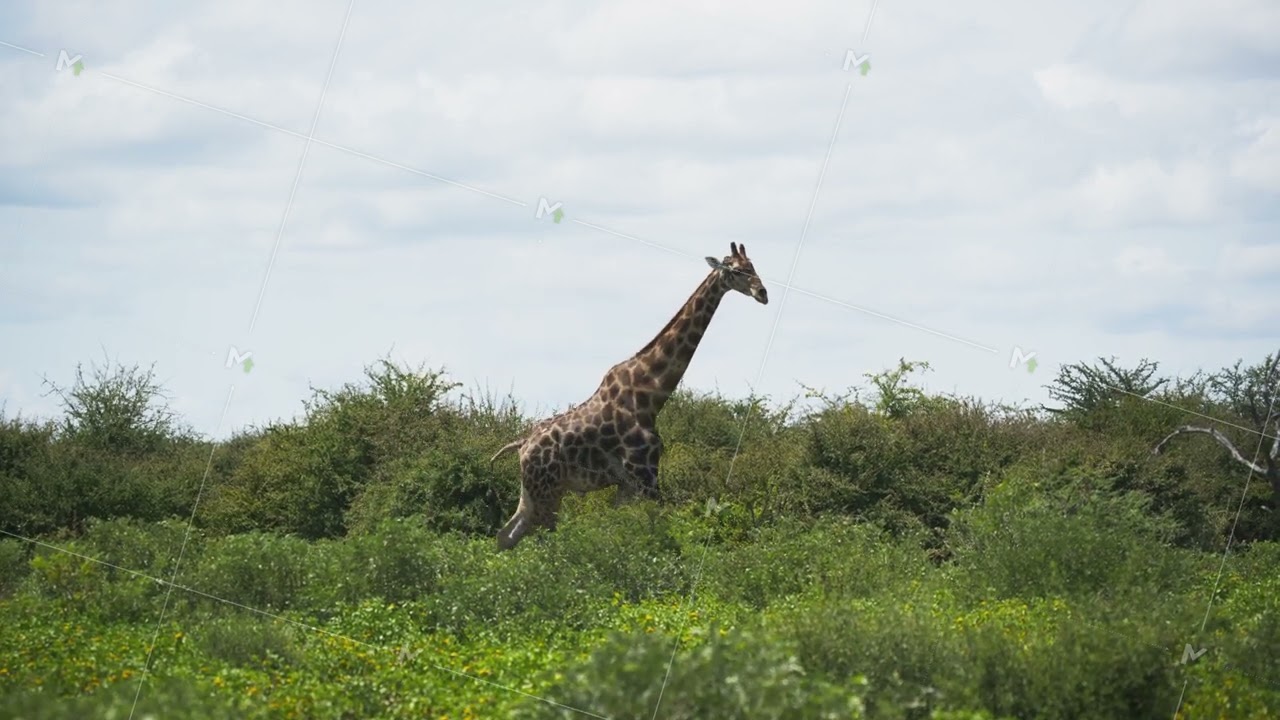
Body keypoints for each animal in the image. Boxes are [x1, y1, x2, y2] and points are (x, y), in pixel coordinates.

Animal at [489, 242, 769, 550]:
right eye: (736, 270)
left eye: (753, 266)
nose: (762, 293)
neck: (651, 394)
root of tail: (521, 445)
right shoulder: (645, 475)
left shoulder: (629, 483)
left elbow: (621, 529)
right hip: (546, 491)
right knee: (537, 536)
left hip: (534, 491)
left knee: (506, 534)